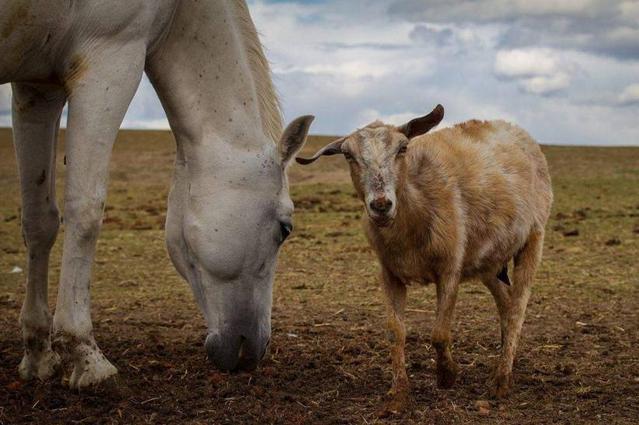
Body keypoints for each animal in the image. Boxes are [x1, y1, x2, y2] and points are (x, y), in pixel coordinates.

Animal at [0, 0, 312, 388]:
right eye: (285, 229)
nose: (252, 351)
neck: (177, 9)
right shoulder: (111, 61)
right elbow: (85, 212)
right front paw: (87, 357)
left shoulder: (36, 88)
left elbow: (39, 222)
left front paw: (39, 356)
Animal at [300, 105, 556, 408]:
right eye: (348, 155)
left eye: (402, 148)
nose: (381, 205)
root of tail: (517, 130)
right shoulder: (389, 273)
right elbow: (395, 331)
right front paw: (398, 394)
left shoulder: (450, 268)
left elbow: (439, 333)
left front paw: (447, 375)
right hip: (488, 260)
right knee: (505, 303)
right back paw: (504, 362)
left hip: (533, 238)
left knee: (517, 308)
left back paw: (501, 380)